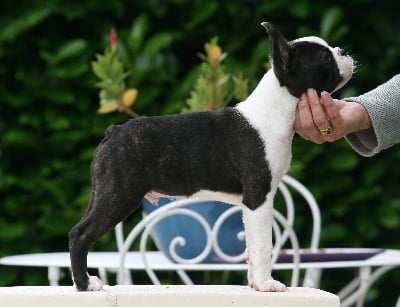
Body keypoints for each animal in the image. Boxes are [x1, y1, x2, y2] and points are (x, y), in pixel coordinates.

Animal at [69, 22, 354, 294]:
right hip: (119, 194)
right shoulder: (259, 199)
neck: (275, 109)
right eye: (324, 57)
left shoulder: (251, 205)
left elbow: (251, 247)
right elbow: (264, 245)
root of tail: (113, 132)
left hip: (104, 191)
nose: (343, 50)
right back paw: (85, 284)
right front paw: (266, 285)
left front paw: (254, 283)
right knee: (80, 234)